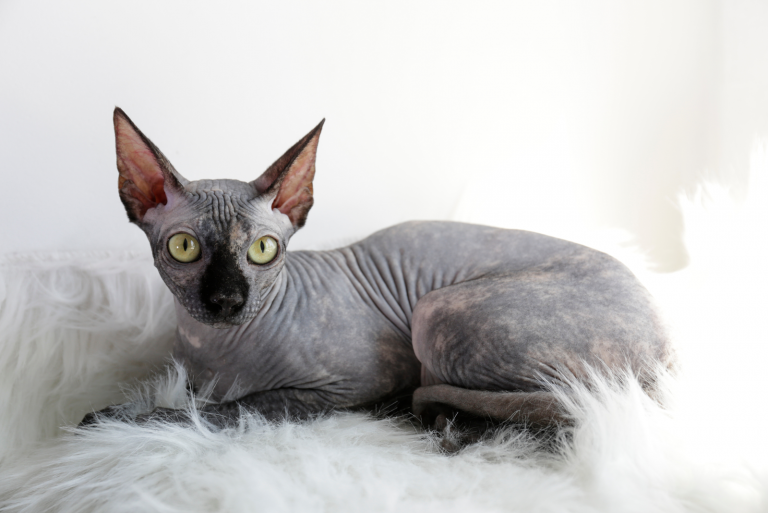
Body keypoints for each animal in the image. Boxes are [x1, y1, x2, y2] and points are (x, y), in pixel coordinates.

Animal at [79, 109, 672, 436]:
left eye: (265, 250)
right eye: (184, 247)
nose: (227, 299)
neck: (215, 351)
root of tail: (667, 349)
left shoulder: (346, 385)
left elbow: (232, 410)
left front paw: (122, 421)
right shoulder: (184, 372)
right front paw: (122, 409)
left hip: (436, 312)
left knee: (561, 404)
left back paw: (449, 425)